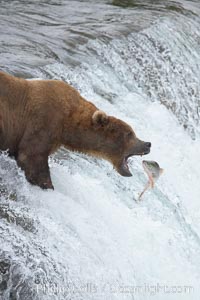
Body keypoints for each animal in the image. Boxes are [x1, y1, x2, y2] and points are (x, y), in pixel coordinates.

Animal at [0, 70, 150, 189]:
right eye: (130, 134)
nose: (147, 144)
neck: (68, 123)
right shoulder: (44, 122)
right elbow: (31, 157)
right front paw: (47, 185)